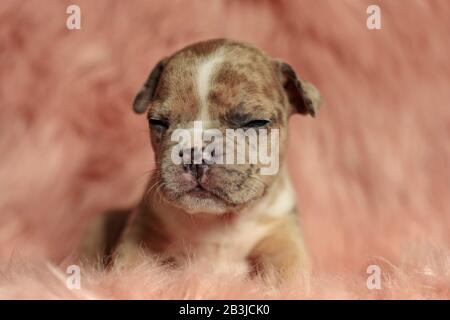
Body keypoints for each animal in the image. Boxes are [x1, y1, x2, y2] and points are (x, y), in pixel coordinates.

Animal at [80, 38, 320, 280]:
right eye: (158, 122)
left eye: (256, 122)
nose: (195, 154)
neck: (218, 222)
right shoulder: (143, 235)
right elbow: (131, 269)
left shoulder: (282, 240)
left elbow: (288, 276)